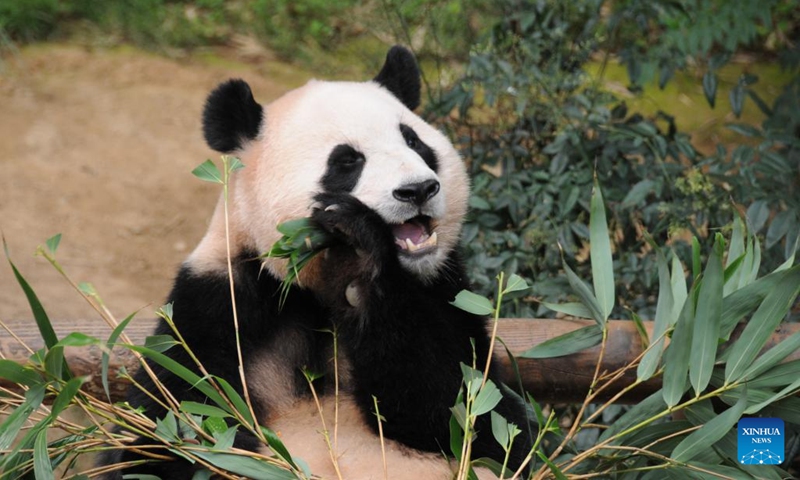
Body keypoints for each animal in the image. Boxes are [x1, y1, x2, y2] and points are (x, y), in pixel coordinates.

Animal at [101, 46, 536, 480]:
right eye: (347, 161)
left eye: (414, 142)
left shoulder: (447, 291)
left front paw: (359, 261)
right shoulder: (217, 300)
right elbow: (171, 425)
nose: (418, 189)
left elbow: (473, 415)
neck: (310, 291)